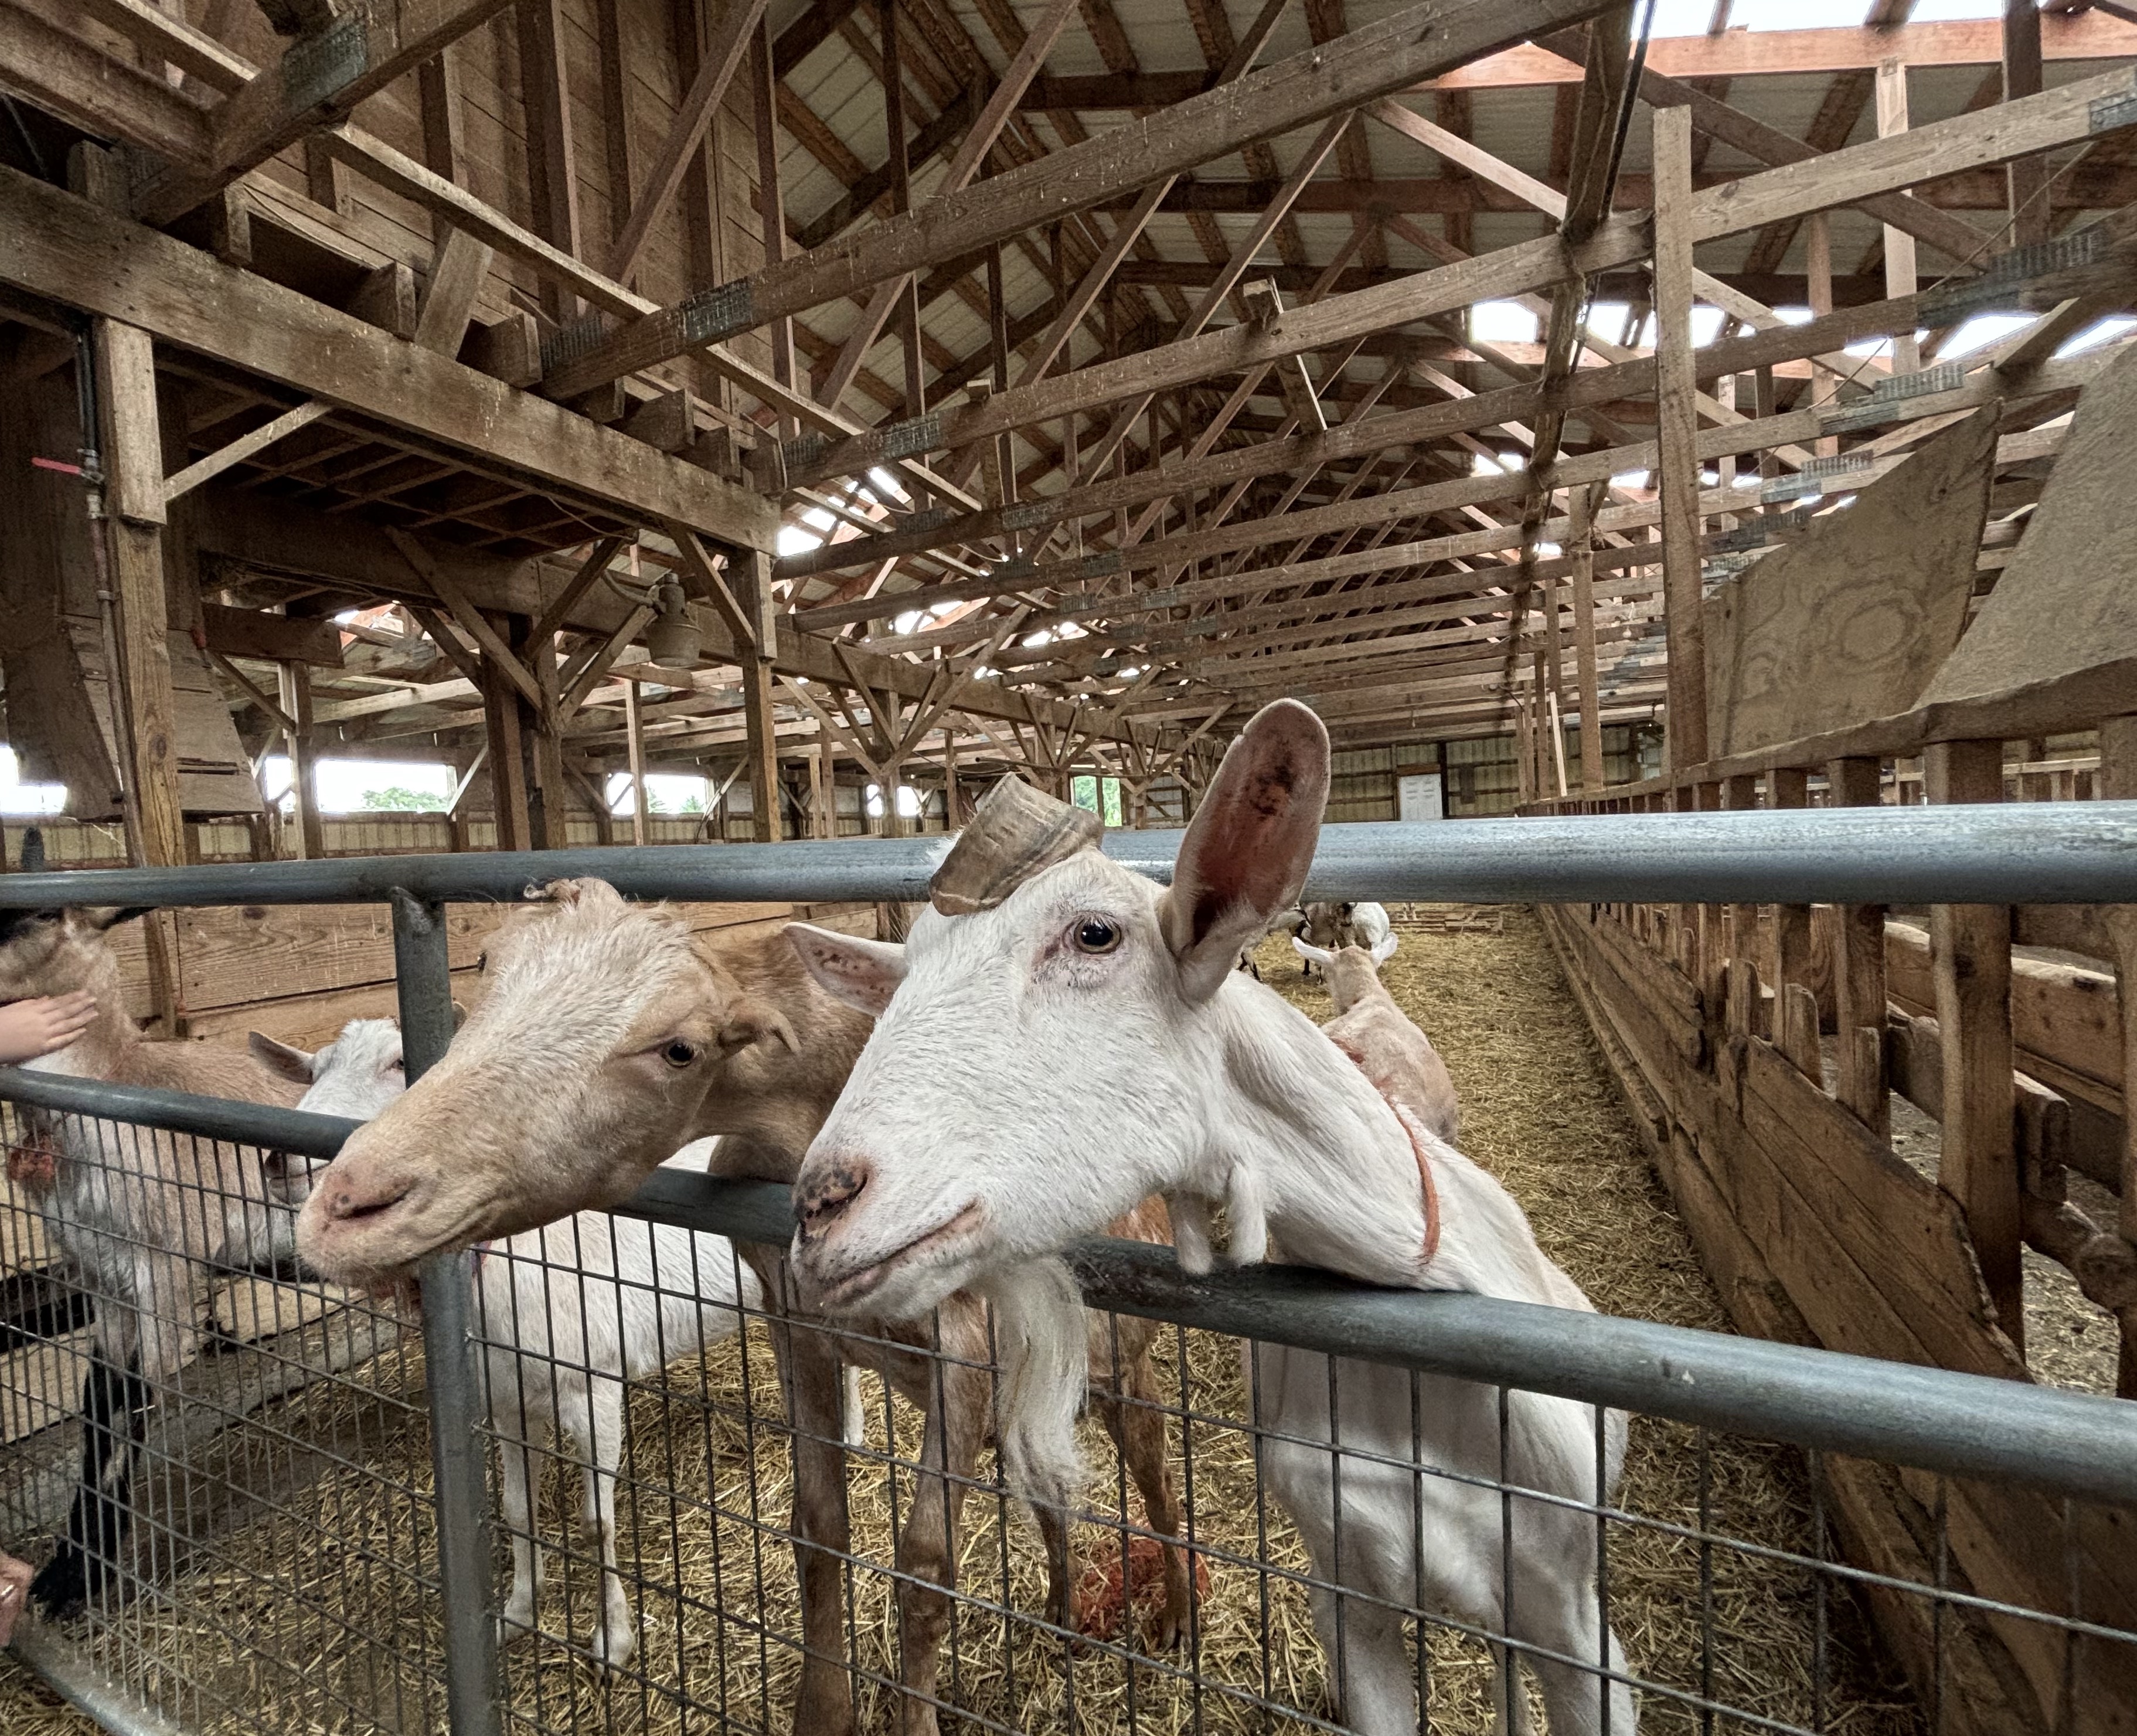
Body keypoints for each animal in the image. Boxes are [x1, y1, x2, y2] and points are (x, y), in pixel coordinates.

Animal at [0, 879, 305, 1619]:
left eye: (42, 910)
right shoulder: (101, 1277)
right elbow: (98, 1407)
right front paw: (63, 1569)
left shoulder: (162, 1268)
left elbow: (137, 1403)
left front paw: (84, 1578)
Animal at [263, 1015, 863, 1669]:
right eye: (314, 1069)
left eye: (400, 1063)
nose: (279, 1159)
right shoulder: (502, 1396)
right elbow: (515, 1508)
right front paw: (518, 1613)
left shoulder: (593, 1384)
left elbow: (595, 1522)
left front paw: (612, 1640)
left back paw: (853, 1433)